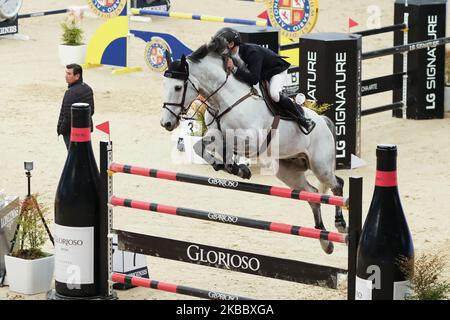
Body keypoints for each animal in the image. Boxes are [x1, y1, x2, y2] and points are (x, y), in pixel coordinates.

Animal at [162, 38, 348, 255]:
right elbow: (200, 146)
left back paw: (340, 224)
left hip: (320, 165)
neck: (225, 98)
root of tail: (324, 121)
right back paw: (325, 242)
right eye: (164, 85)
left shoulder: (251, 141)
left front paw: (236, 167)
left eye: (177, 87)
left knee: (337, 185)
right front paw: (226, 166)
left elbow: (227, 145)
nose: (166, 123)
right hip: (288, 170)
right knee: (312, 194)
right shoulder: (215, 133)